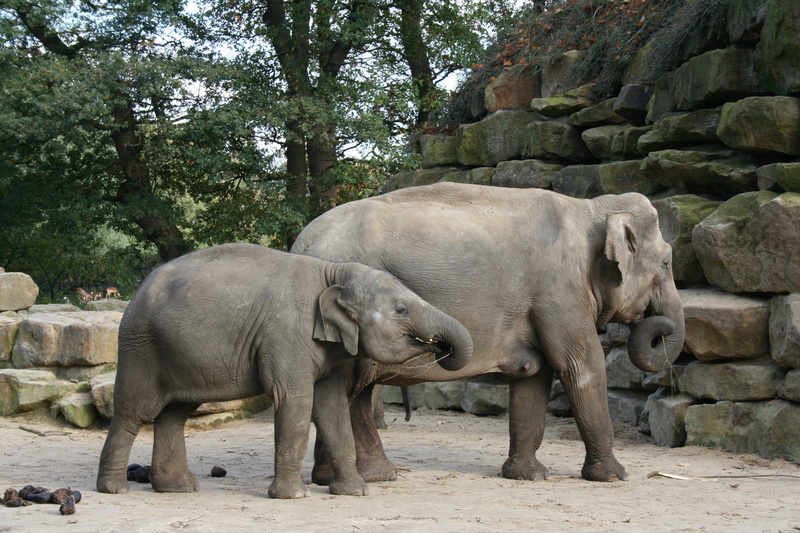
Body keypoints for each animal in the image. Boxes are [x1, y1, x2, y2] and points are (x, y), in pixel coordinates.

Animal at [96, 243, 473, 499]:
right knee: (136, 411)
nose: (441, 347)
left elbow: (332, 407)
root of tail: (136, 292)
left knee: (174, 414)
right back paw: (115, 489)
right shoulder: (286, 334)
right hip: (140, 346)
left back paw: (180, 488)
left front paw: (355, 492)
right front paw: (294, 496)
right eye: (401, 309)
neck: (332, 272)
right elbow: (295, 401)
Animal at [291, 182, 685, 483]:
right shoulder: (560, 291)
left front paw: (528, 476)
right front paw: (615, 476)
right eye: (666, 262)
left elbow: (534, 375)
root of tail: (301, 242)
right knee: (351, 387)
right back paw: (368, 477)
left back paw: (338, 477)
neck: (591, 207)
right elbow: (579, 365)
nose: (659, 324)